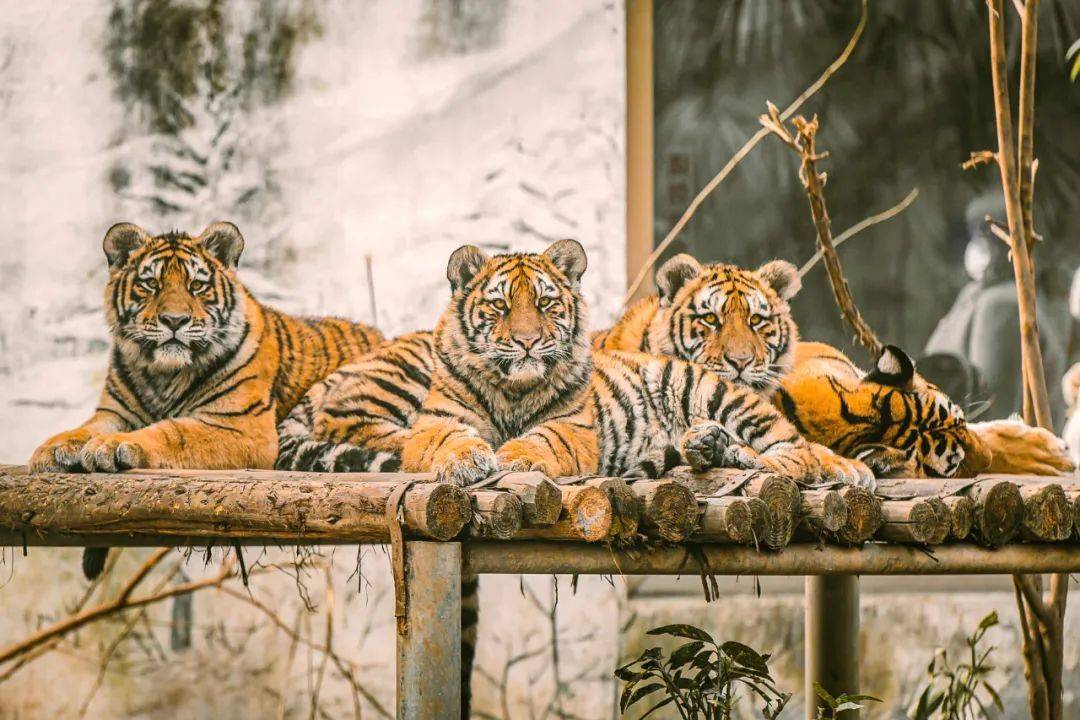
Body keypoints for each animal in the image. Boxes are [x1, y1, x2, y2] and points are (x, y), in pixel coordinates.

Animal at [29, 221, 382, 576]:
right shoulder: (113, 413)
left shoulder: (243, 427)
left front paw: (112, 446)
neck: (164, 374)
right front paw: (52, 449)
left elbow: (174, 432)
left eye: (197, 286)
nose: (174, 320)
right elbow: (84, 429)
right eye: (151, 284)